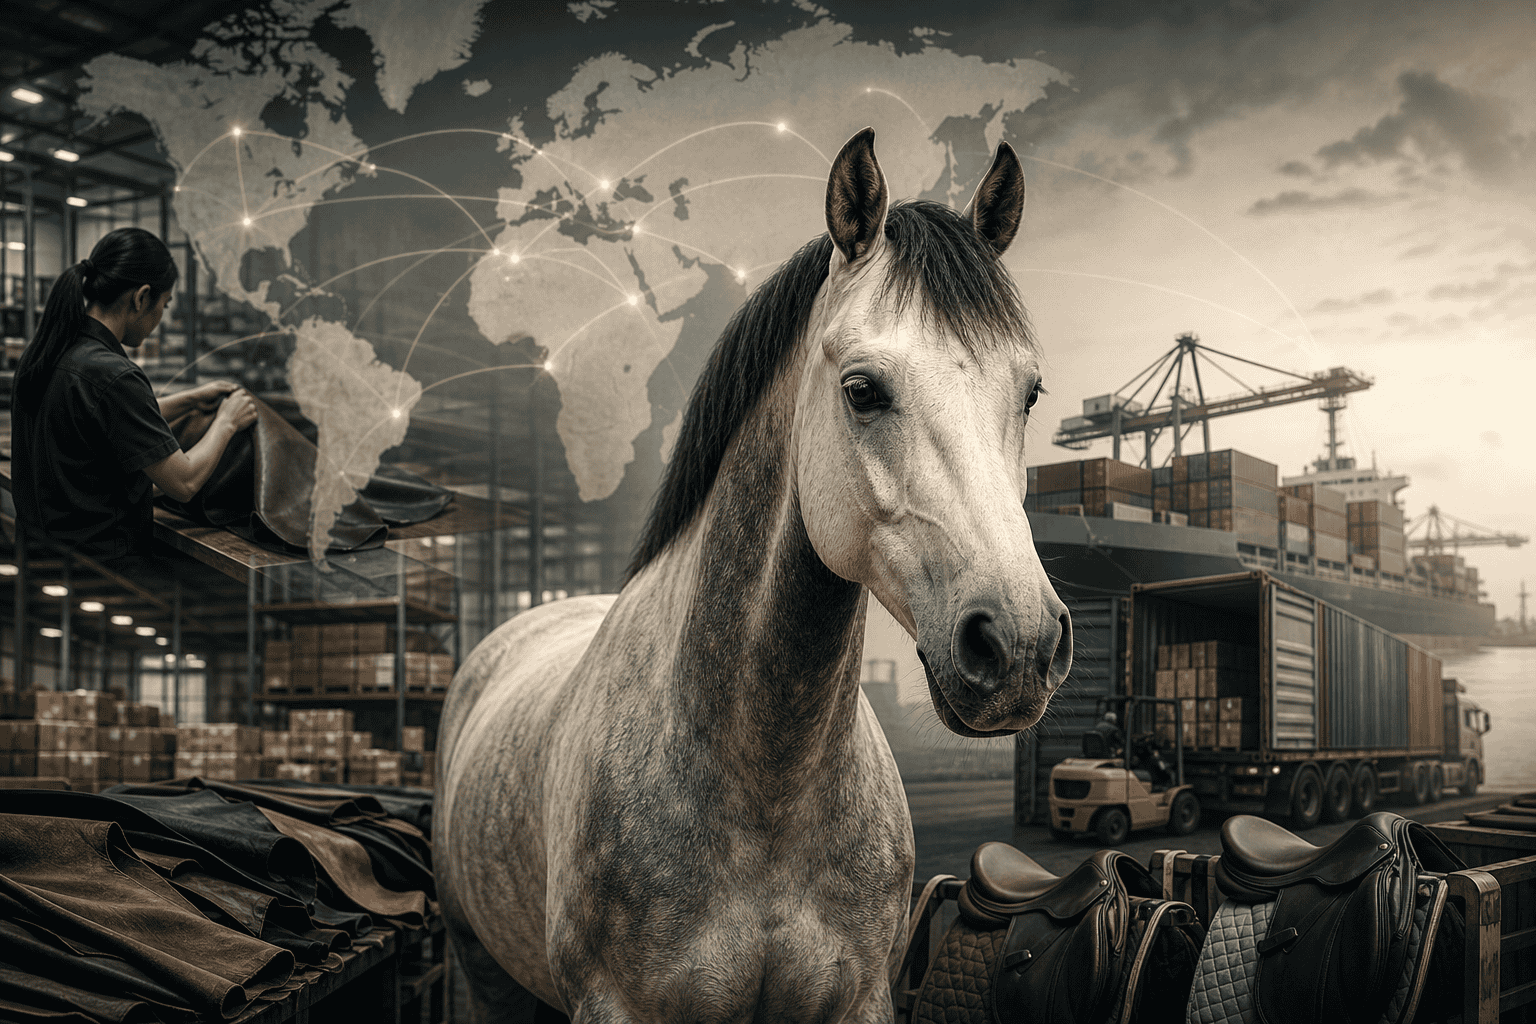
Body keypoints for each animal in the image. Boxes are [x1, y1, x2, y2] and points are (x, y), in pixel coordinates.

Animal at [436, 127, 1073, 1024]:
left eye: (1030, 392)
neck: (768, 789)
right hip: (481, 970)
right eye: (862, 390)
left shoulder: (859, 999)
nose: (1018, 646)